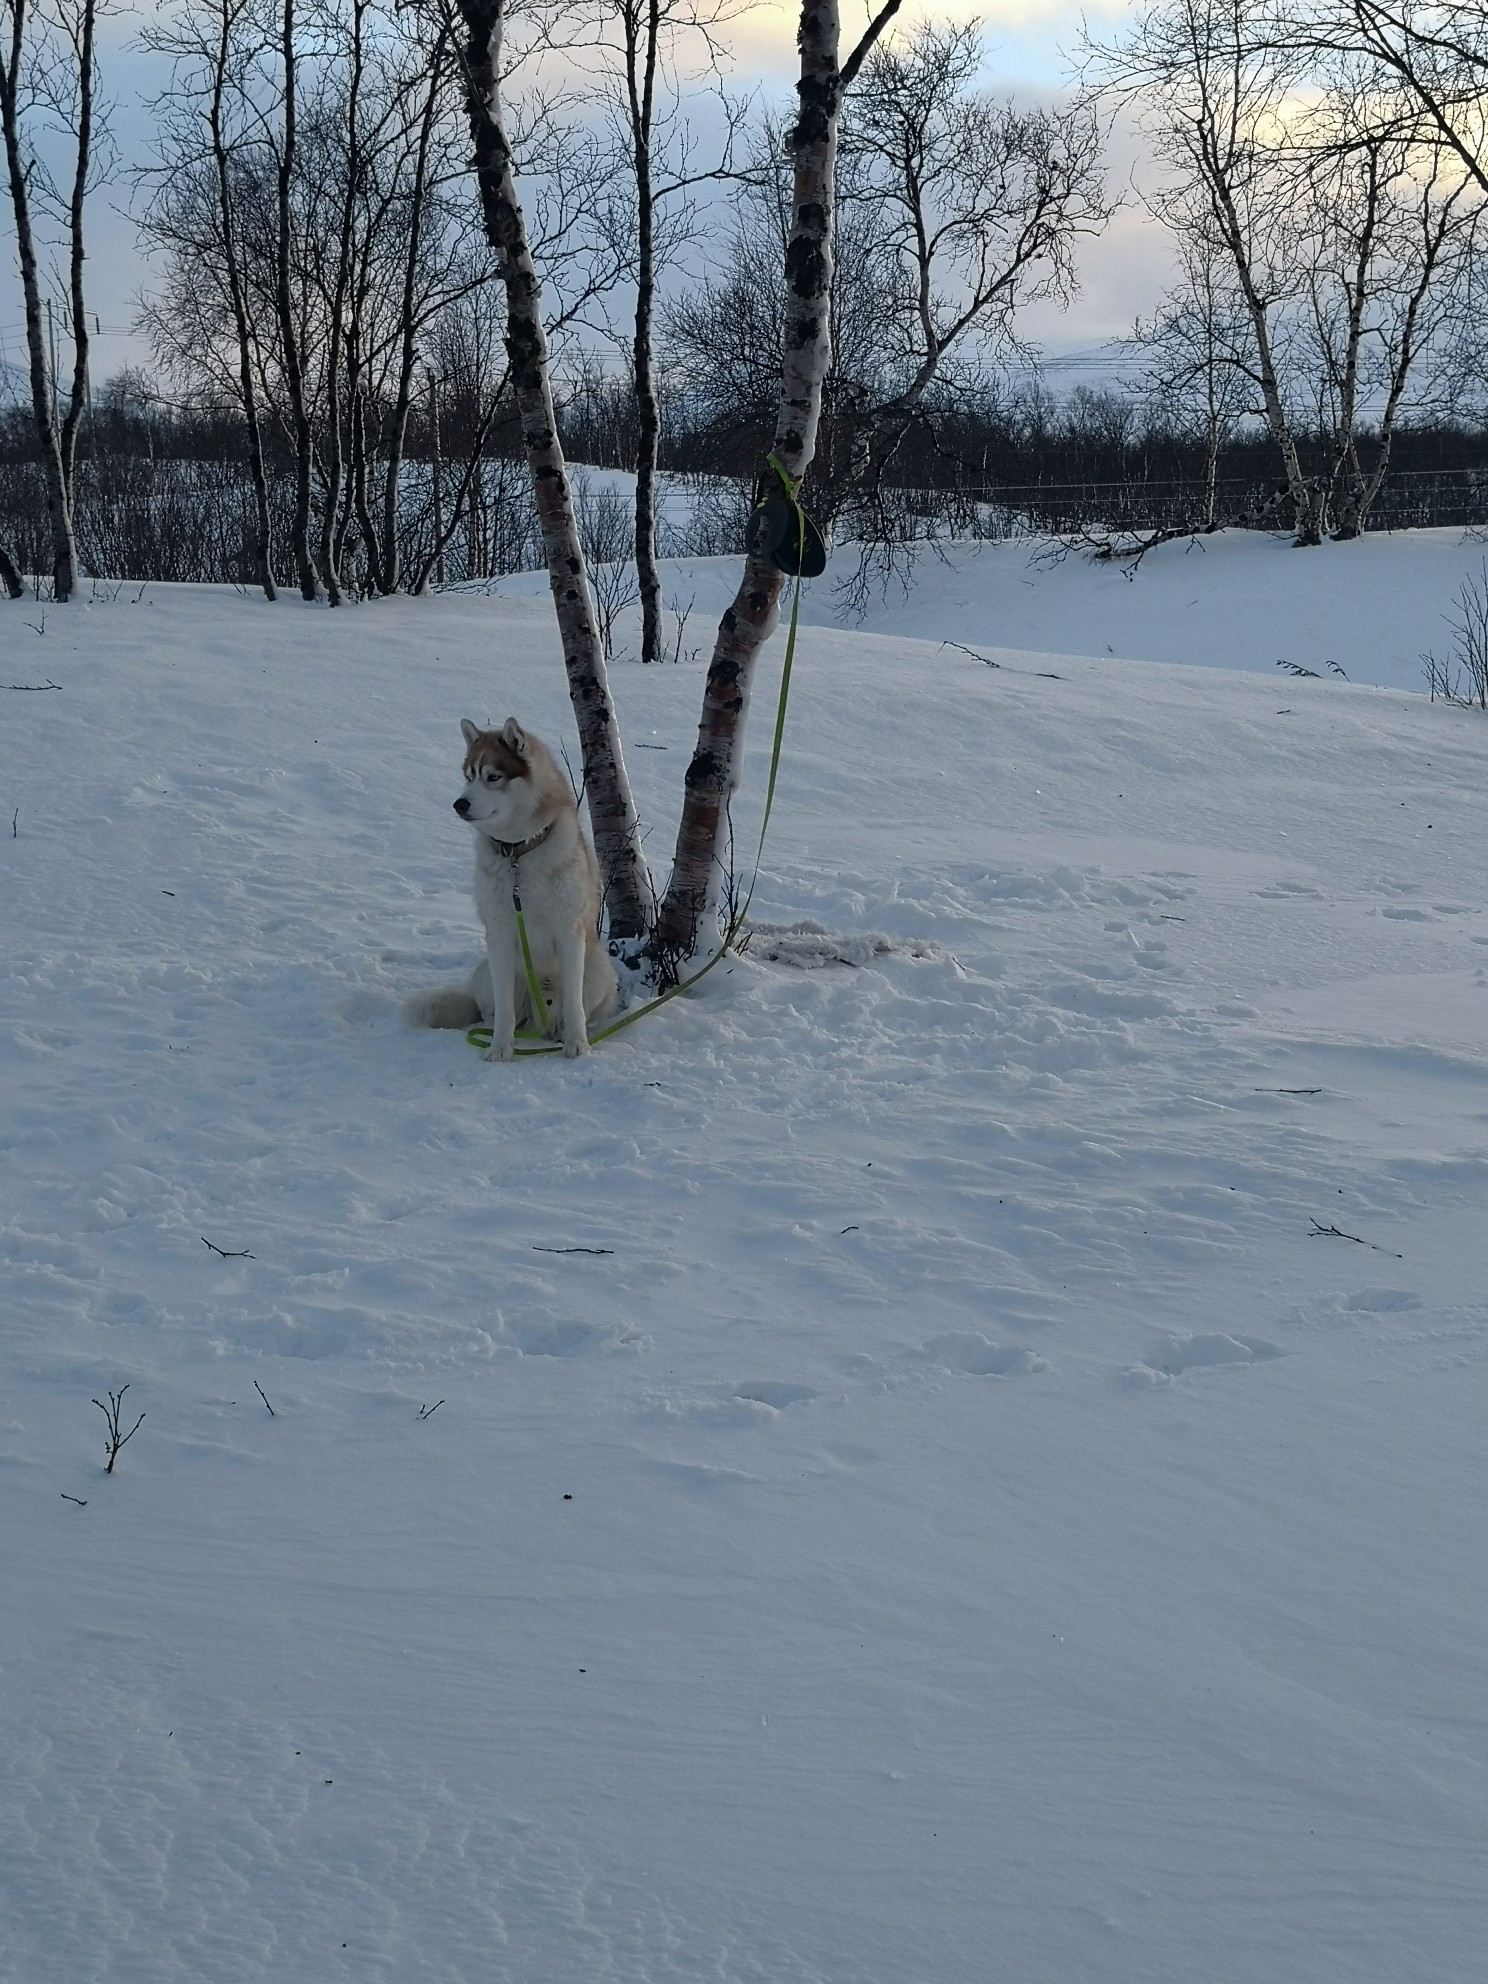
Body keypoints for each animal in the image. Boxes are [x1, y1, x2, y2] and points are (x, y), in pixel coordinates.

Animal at [402, 714, 619, 1055]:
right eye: (468, 776)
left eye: (493, 777)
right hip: (485, 973)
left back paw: (562, 1031)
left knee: (575, 1008)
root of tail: (538, 1011)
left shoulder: (569, 932)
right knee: (491, 1009)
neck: (518, 852)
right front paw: (500, 1049)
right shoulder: (500, 934)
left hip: (599, 969)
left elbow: (574, 1006)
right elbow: (504, 1009)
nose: (459, 804)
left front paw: (577, 1045)